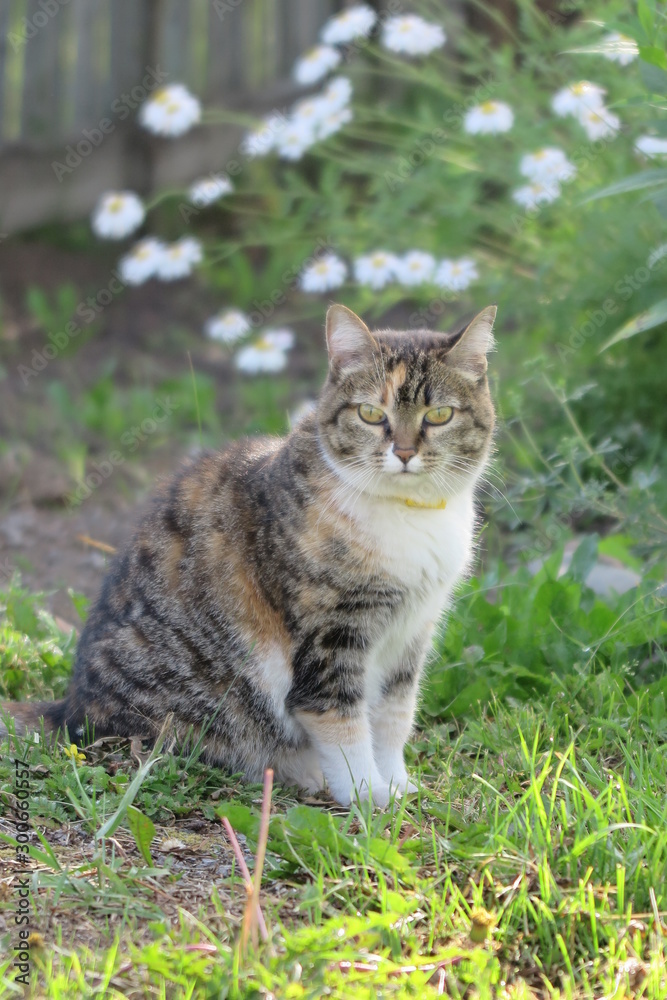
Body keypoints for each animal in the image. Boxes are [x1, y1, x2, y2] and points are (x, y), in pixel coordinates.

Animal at [2, 302, 496, 804]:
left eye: (439, 414)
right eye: (371, 413)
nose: (404, 452)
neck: (409, 514)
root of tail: (71, 710)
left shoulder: (412, 631)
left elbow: (395, 716)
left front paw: (396, 784)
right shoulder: (330, 635)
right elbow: (341, 720)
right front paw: (367, 795)